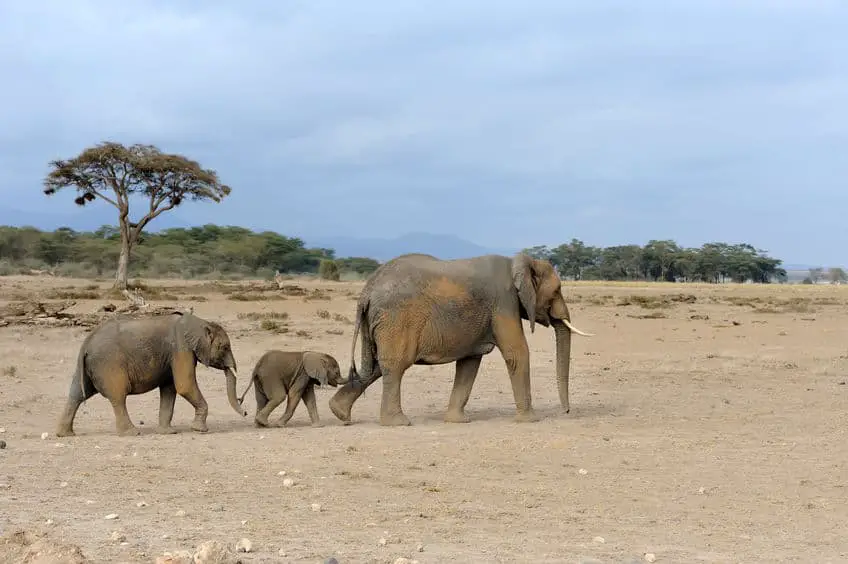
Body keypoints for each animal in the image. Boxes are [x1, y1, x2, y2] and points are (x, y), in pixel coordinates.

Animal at [328, 253, 592, 426]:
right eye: (557, 290)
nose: (567, 411)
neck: (517, 262)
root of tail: (367, 291)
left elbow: (469, 362)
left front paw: (457, 421)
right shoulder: (503, 302)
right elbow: (517, 352)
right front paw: (530, 420)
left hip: (379, 322)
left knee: (373, 366)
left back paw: (339, 413)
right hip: (395, 319)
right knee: (394, 365)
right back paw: (398, 423)